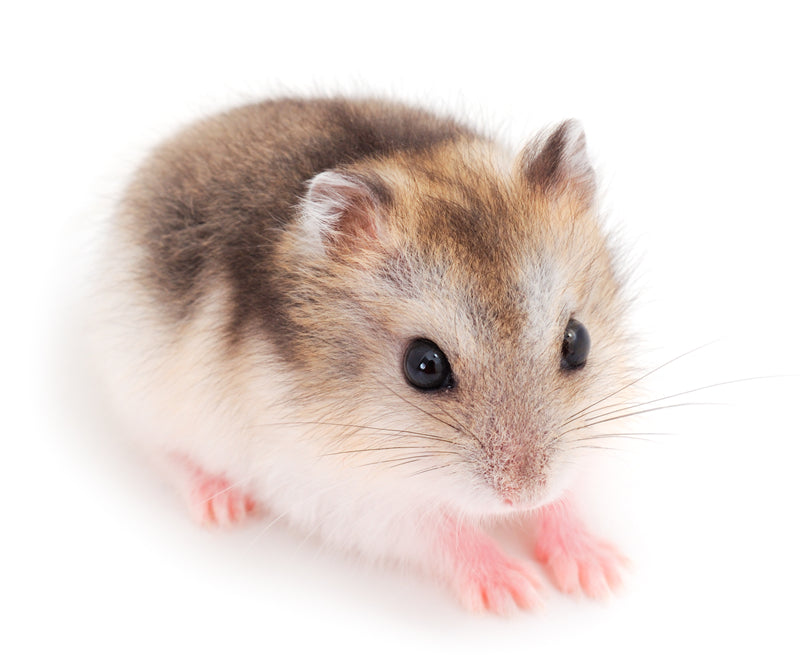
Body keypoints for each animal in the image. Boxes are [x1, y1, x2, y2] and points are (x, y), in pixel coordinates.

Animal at [93, 97, 634, 613]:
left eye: (578, 341)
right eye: (423, 366)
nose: (522, 494)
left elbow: (565, 498)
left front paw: (601, 573)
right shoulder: (344, 495)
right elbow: (443, 529)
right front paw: (516, 595)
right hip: (142, 389)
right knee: (162, 452)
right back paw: (221, 506)